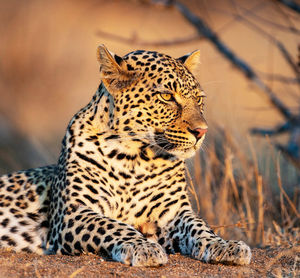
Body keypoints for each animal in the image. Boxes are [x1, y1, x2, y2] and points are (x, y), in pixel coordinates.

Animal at [0, 45, 251, 268]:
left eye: (199, 99)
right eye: (167, 96)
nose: (202, 131)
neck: (134, 158)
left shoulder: (174, 212)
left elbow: (199, 225)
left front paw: (225, 245)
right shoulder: (73, 213)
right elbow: (110, 225)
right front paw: (143, 247)